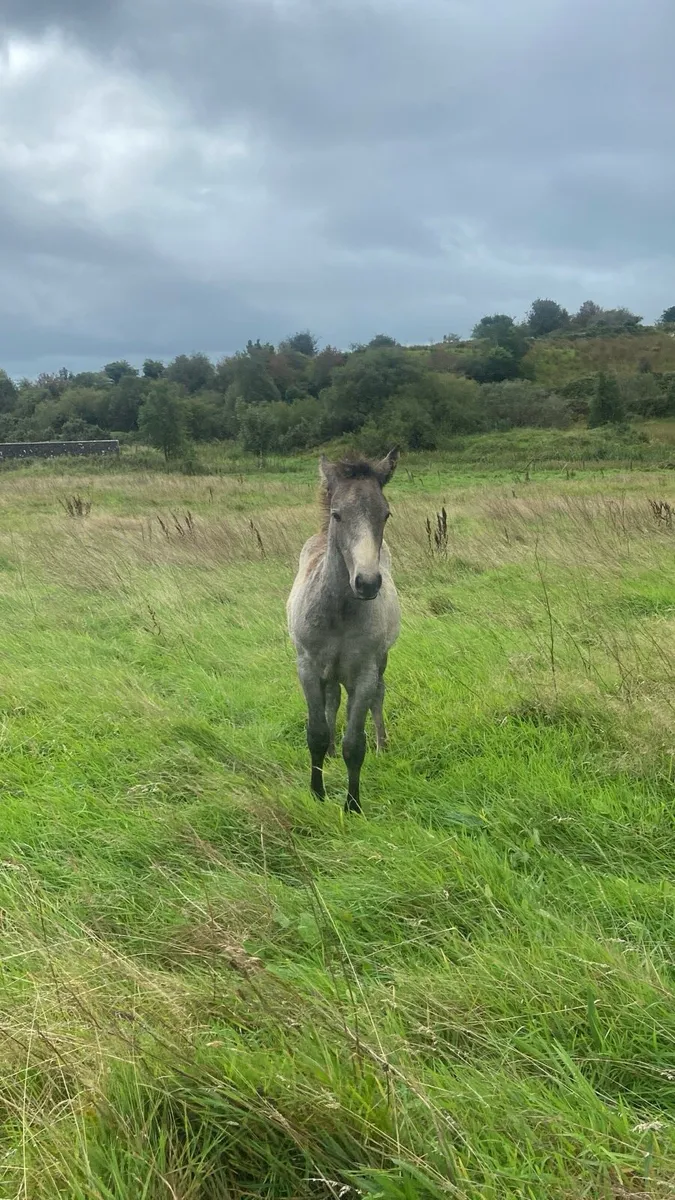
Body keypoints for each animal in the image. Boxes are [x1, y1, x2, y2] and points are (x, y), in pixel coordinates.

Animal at [287, 447, 400, 813]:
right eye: (338, 515)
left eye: (385, 514)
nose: (367, 583)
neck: (338, 614)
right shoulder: (307, 667)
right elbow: (316, 732)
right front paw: (317, 792)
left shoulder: (364, 672)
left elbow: (355, 743)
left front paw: (352, 805)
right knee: (332, 700)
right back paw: (332, 752)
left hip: (378, 662)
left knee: (377, 695)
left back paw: (382, 745)